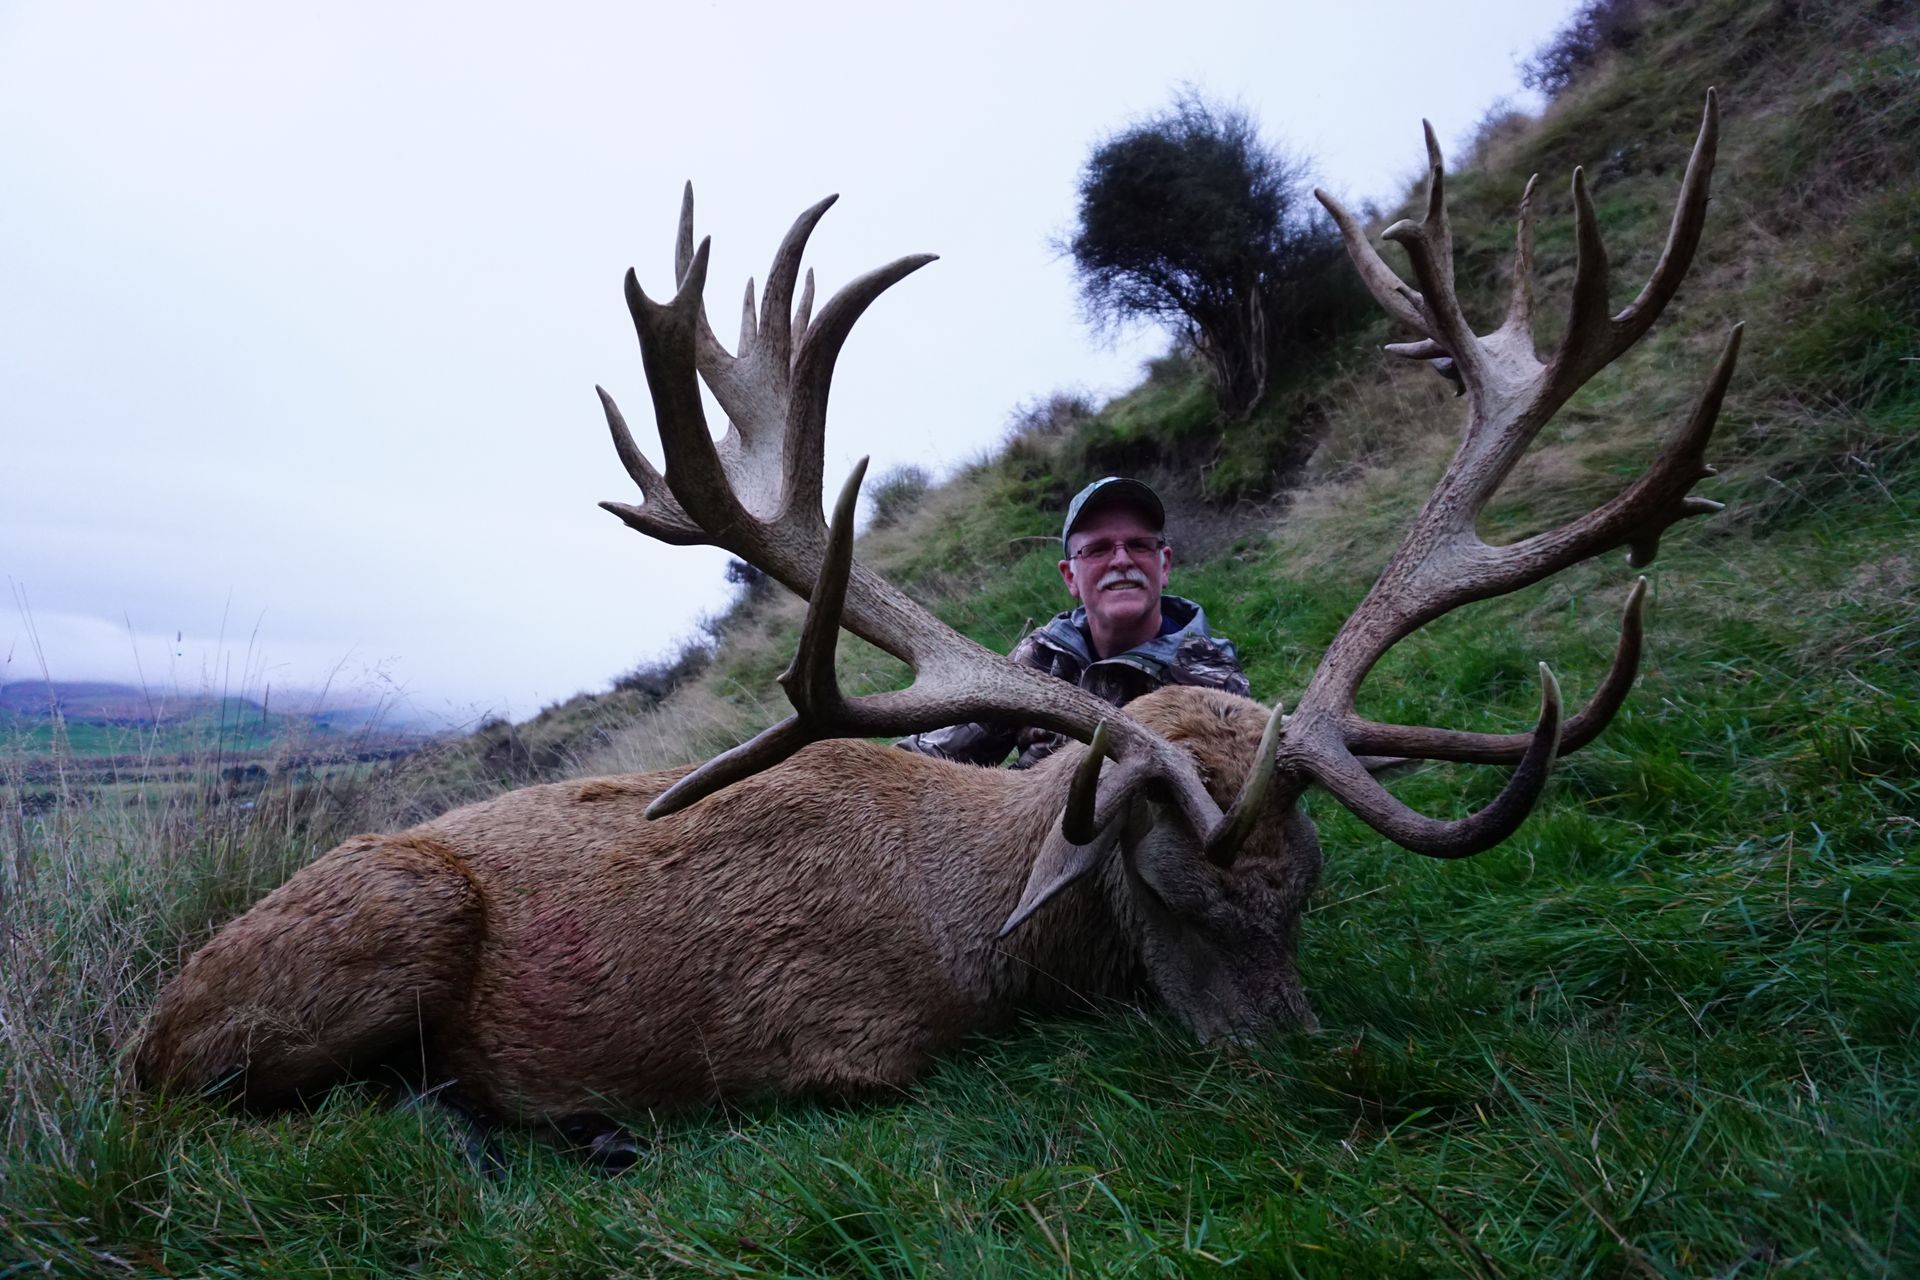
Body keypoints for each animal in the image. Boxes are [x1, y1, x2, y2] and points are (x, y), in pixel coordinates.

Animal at [134, 95, 1736, 1145]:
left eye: (1306, 892)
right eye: (1171, 888)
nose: (1293, 1061)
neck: (987, 939)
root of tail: (152, 1012)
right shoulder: (830, 1042)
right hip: (366, 934)